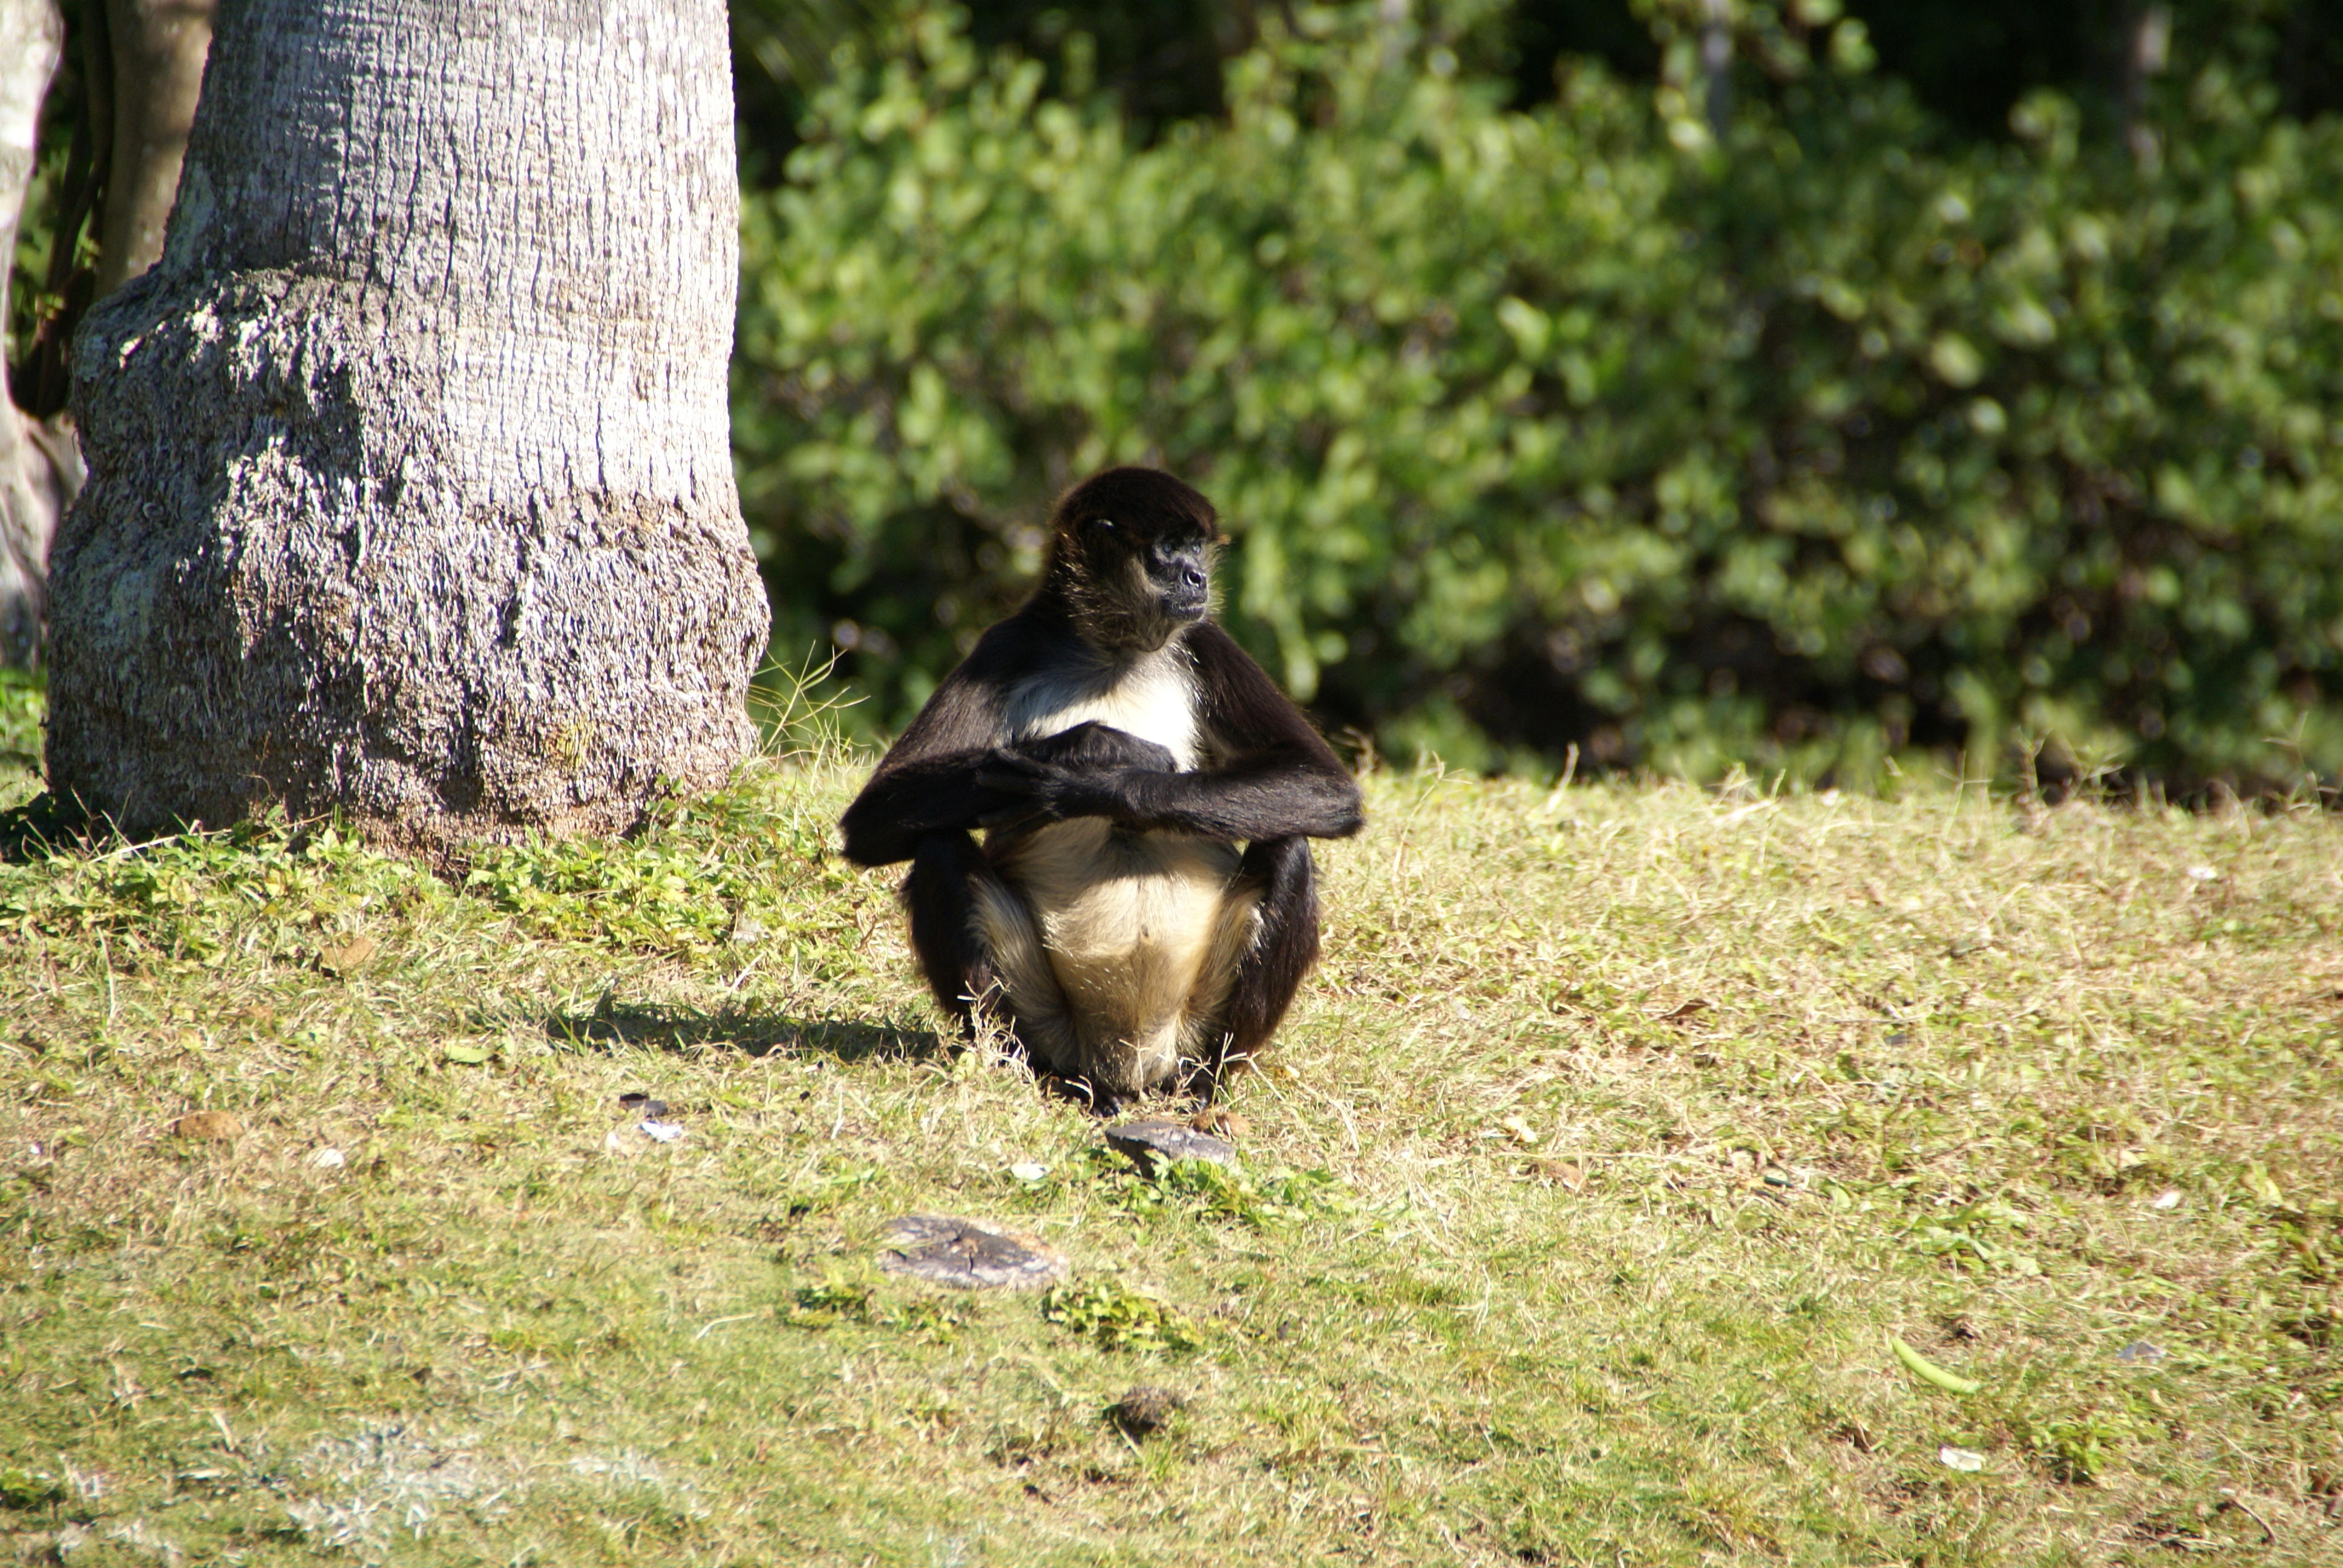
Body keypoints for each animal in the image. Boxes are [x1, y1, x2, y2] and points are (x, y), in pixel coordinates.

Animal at [843, 464, 1368, 1101]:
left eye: (1198, 547)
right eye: (1170, 547)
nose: (1198, 577)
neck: (1115, 649)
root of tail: (1125, 1064)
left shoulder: (1205, 639)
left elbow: (1325, 785)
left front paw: (1096, 783)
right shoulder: (1006, 644)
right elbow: (873, 818)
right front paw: (1091, 748)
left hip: (1191, 1027)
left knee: (1290, 845)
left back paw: (1201, 1089)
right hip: (1049, 1024)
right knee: (939, 847)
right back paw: (1033, 1074)